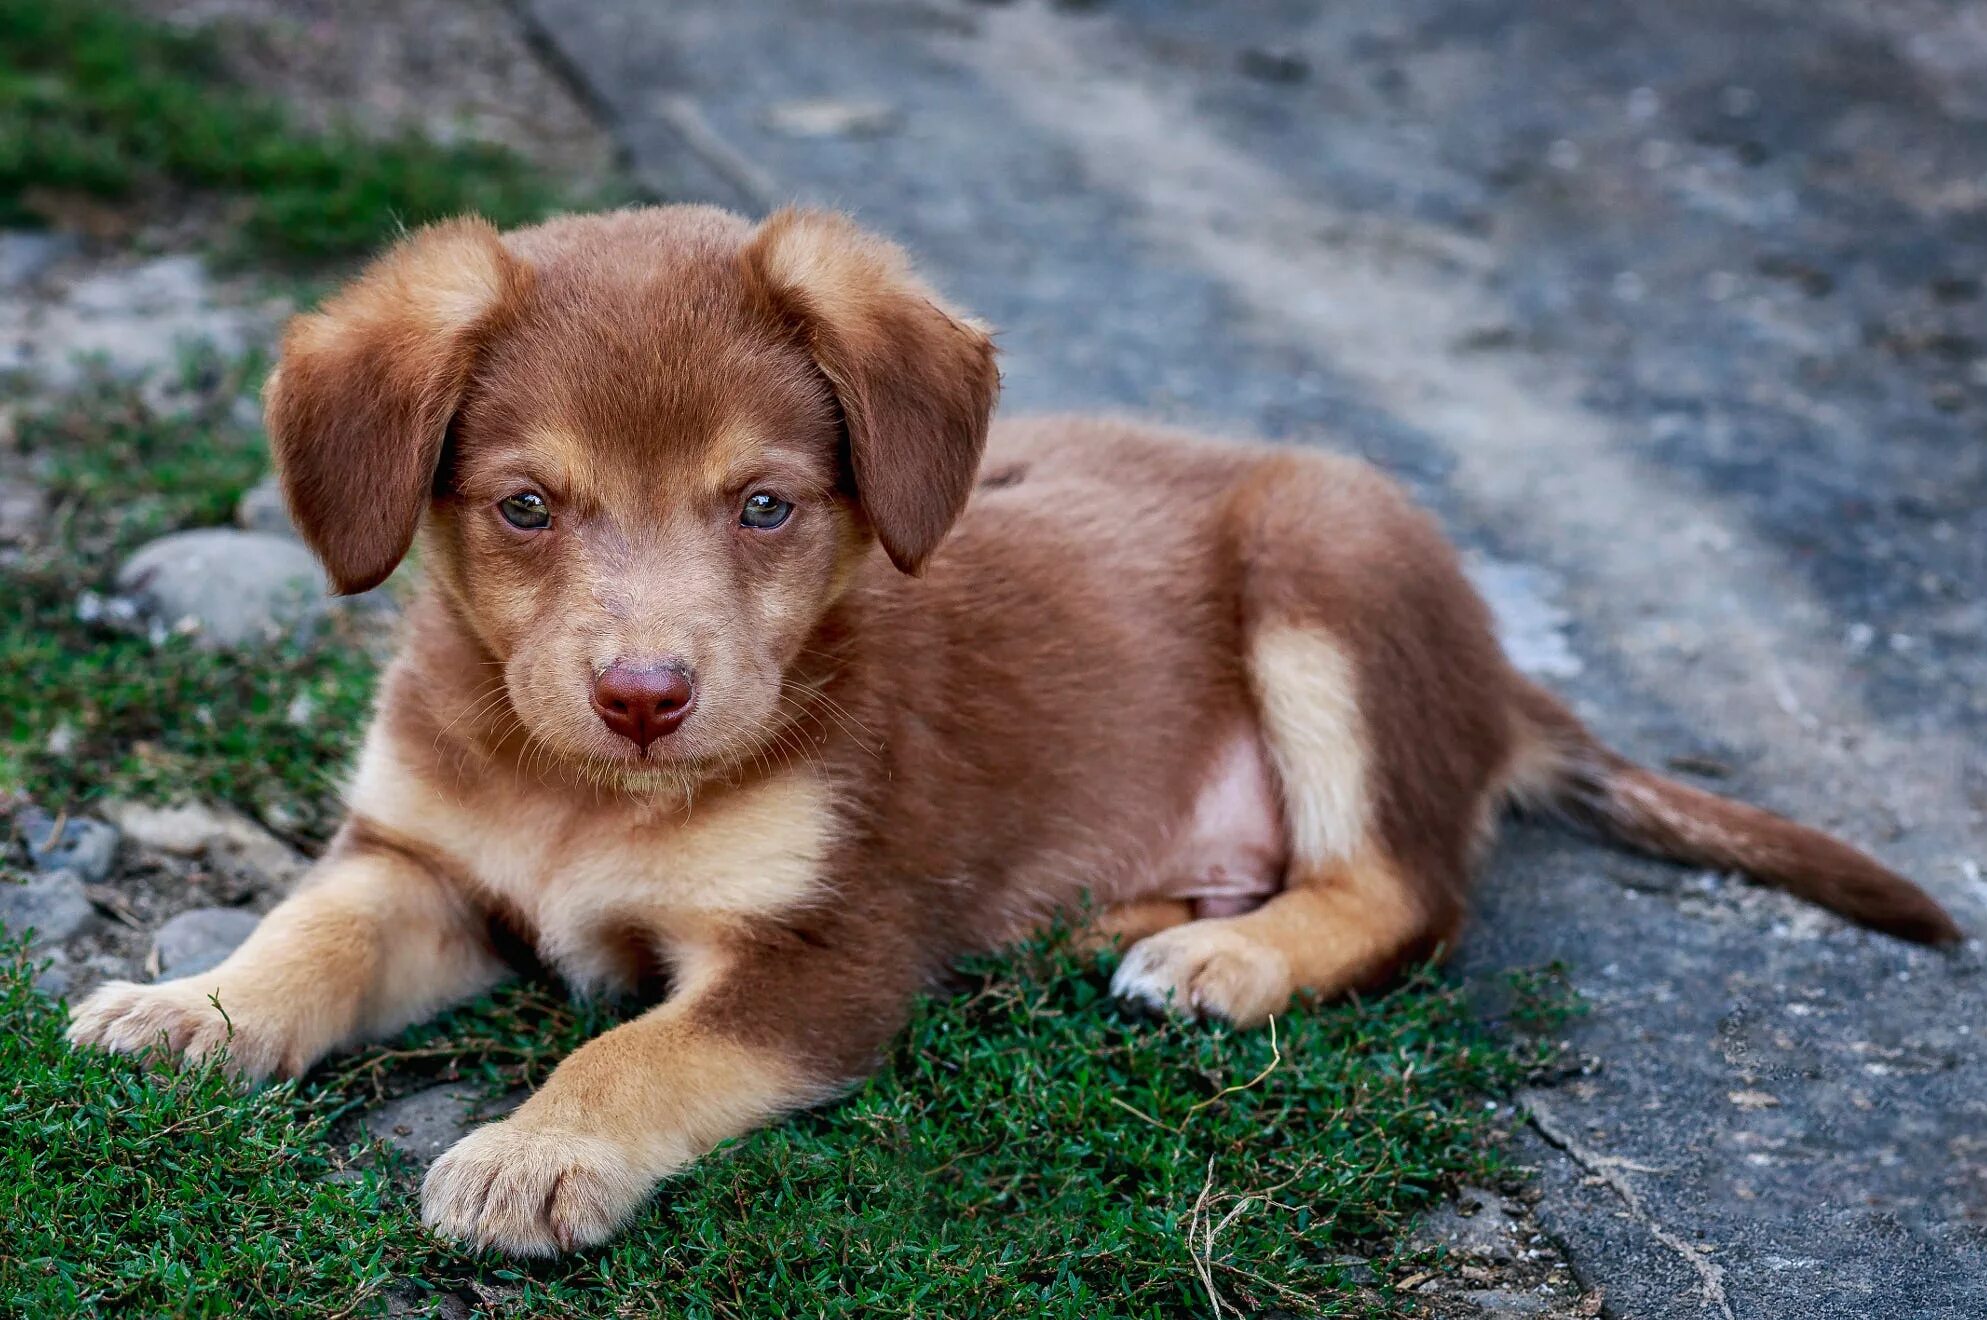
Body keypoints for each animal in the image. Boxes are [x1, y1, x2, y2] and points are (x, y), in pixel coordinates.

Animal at [70, 206, 1963, 1256]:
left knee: (1404, 890)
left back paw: (1225, 963)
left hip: (1327, 563)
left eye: (764, 506)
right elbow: (309, 937)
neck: (583, 792)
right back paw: (1117, 924)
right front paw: (193, 1005)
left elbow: (638, 1054)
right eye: (527, 508)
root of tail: (1502, 670)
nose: (646, 694)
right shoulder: (418, 860)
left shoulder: (826, 956)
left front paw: (537, 1151)